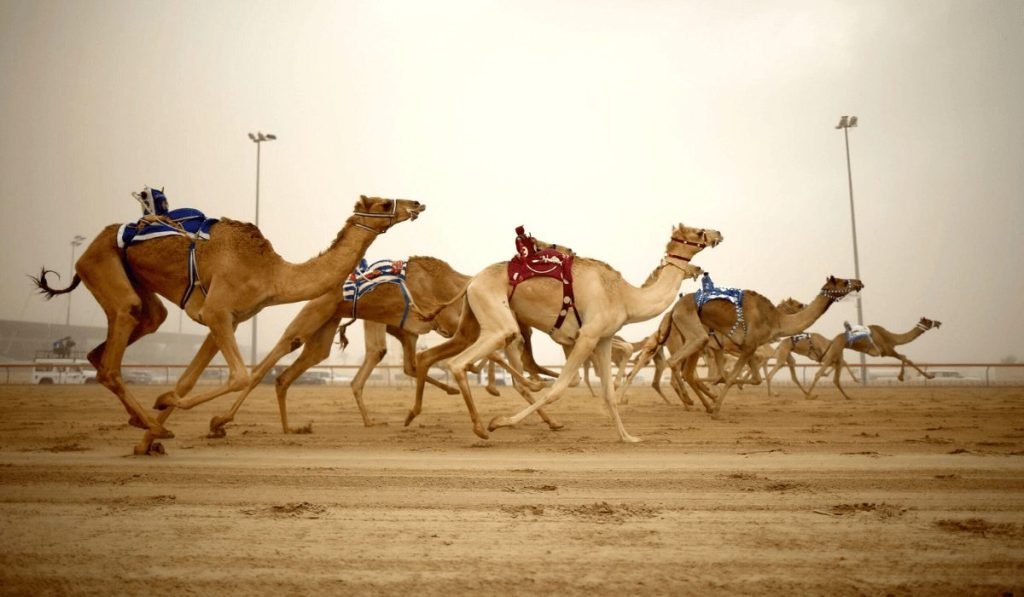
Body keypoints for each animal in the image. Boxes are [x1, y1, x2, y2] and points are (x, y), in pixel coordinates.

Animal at [32, 196, 423, 452]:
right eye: (384, 203)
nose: (416, 203)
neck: (272, 273)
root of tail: (92, 245)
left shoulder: (228, 320)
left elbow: (190, 380)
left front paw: (150, 437)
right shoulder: (217, 312)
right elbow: (240, 376)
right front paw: (171, 412)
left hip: (137, 288)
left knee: (119, 342)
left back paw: (145, 423)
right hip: (101, 264)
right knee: (113, 358)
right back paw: (150, 422)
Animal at [407, 222, 720, 442]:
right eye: (698, 231)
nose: (717, 234)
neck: (625, 297)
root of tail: (471, 281)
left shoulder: (603, 339)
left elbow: (608, 391)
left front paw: (628, 437)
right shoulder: (587, 336)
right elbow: (560, 387)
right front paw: (501, 422)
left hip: (471, 320)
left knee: (439, 356)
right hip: (497, 319)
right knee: (460, 362)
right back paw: (483, 427)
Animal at [622, 276, 864, 415]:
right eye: (843, 282)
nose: (859, 282)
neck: (774, 320)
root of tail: (672, 311)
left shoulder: (747, 349)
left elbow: (751, 379)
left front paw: (715, 398)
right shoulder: (748, 346)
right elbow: (730, 377)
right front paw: (717, 407)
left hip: (695, 342)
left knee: (686, 372)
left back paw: (700, 402)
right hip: (694, 337)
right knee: (675, 366)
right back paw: (692, 401)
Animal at [806, 315, 942, 399]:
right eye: (928, 321)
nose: (938, 322)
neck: (892, 337)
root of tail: (833, 339)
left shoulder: (888, 350)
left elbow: (905, 358)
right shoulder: (887, 350)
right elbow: (904, 357)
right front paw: (927, 376)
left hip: (837, 352)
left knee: (834, 376)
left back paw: (847, 396)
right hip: (835, 351)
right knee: (819, 373)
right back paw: (809, 395)